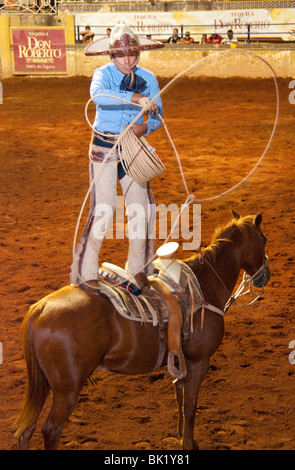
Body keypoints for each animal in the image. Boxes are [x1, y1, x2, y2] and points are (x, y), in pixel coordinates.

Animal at [15, 210, 272, 452]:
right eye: (263, 239)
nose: (265, 276)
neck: (205, 285)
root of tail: (40, 307)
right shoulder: (199, 361)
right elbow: (190, 407)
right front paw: (189, 444)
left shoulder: (182, 361)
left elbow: (179, 398)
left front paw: (182, 438)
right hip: (67, 390)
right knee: (51, 429)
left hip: (43, 384)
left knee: (26, 429)